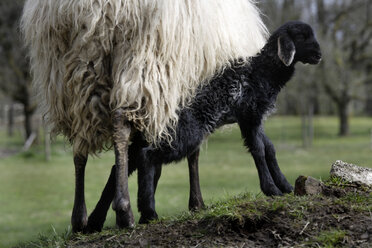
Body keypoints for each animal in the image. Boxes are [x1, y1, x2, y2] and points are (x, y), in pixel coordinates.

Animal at [85, 20, 322, 232]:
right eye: (302, 36)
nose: (319, 55)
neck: (261, 70)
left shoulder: (252, 118)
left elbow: (269, 148)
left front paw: (286, 186)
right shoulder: (249, 114)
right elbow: (259, 150)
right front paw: (272, 189)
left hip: (150, 136)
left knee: (122, 165)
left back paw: (98, 221)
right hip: (183, 134)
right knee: (147, 157)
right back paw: (147, 212)